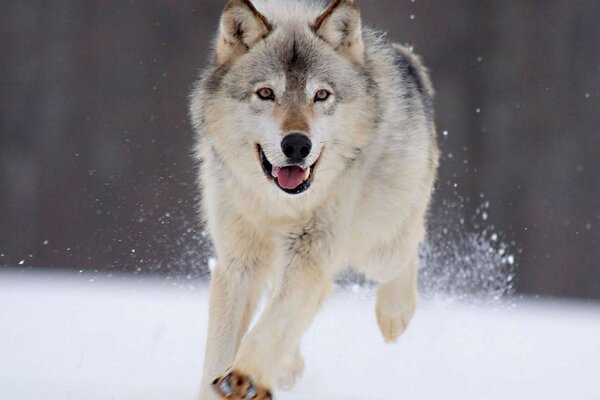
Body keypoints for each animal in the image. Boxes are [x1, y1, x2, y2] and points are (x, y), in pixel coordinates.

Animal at [190, 0, 438, 396]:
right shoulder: (238, 263)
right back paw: (287, 368)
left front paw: (245, 376)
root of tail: (407, 60)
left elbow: (271, 325)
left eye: (321, 95)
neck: (279, 206)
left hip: (377, 247)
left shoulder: (311, 253)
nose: (296, 145)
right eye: (265, 93)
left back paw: (394, 315)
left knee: (408, 245)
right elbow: (220, 349)